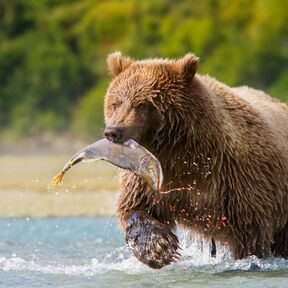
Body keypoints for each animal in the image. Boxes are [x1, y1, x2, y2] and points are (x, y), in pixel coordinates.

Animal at [103, 51, 288, 268]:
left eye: (142, 104)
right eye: (116, 103)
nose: (113, 131)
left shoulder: (236, 179)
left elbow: (250, 234)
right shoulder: (150, 177)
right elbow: (137, 206)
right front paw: (158, 248)